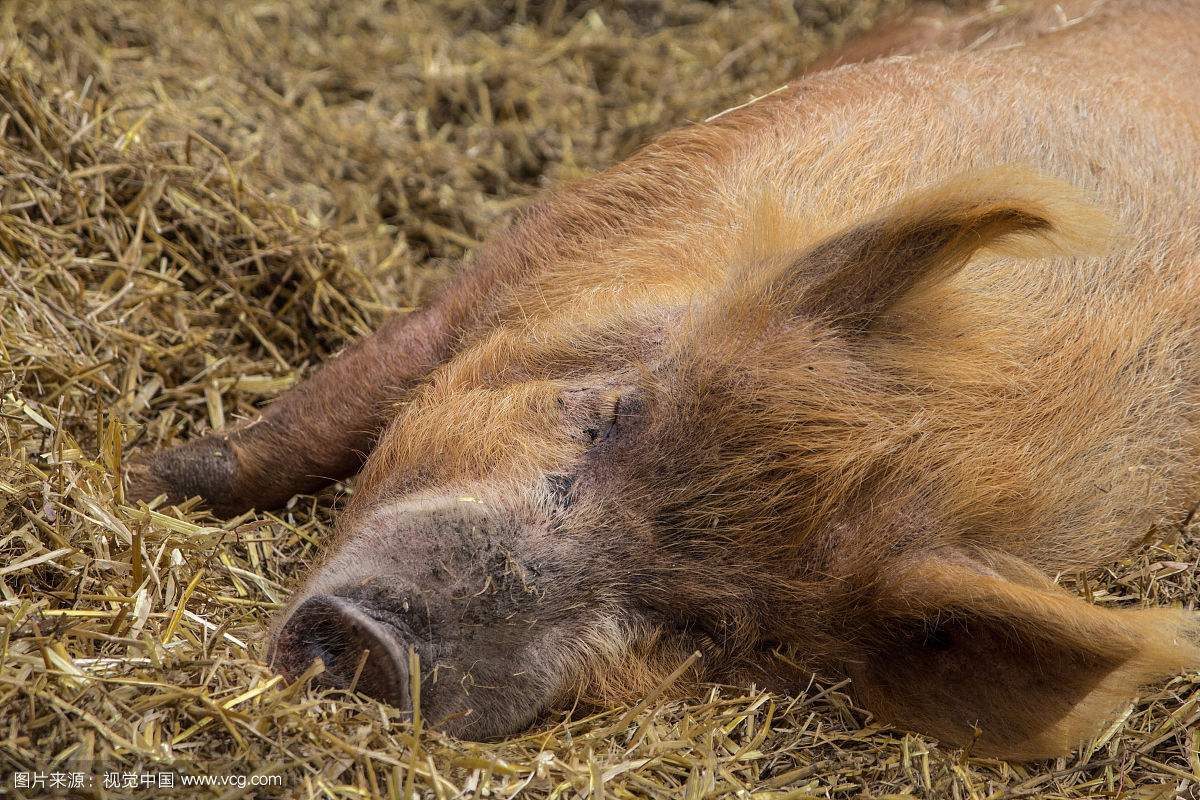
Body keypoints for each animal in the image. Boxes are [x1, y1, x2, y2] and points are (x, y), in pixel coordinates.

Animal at [129, 0, 1200, 762]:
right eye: (608, 414)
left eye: (709, 628)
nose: (381, 650)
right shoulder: (552, 241)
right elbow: (319, 416)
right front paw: (136, 477)